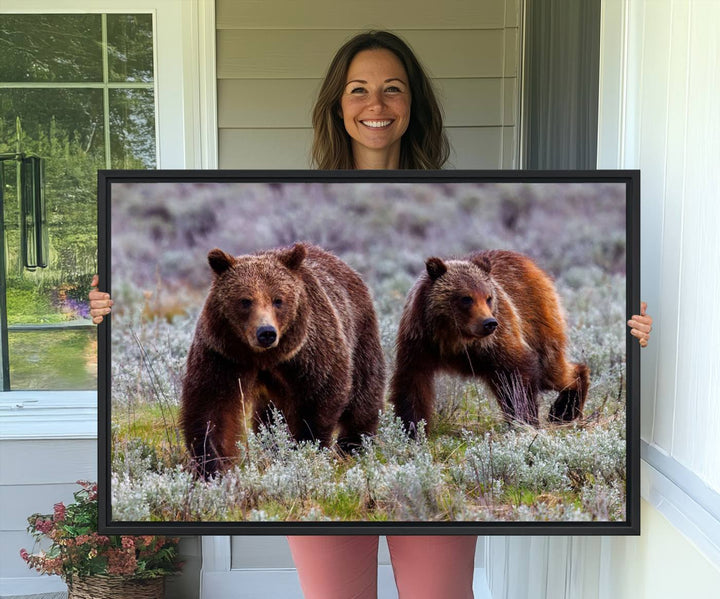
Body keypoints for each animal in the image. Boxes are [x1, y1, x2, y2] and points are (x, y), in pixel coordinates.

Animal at [180, 244, 388, 478]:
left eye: (278, 300)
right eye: (245, 300)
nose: (266, 333)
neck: (265, 357)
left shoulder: (310, 354)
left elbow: (319, 400)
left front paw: (306, 449)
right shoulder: (223, 355)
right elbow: (212, 409)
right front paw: (212, 465)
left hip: (360, 335)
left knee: (364, 395)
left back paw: (353, 445)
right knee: (268, 417)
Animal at [390, 250, 588, 436]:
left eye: (488, 297)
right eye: (466, 298)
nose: (489, 323)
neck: (454, 338)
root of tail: (531, 264)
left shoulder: (497, 341)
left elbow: (517, 375)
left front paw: (525, 420)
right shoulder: (419, 341)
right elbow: (413, 383)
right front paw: (412, 429)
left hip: (537, 319)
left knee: (551, 369)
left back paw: (564, 409)